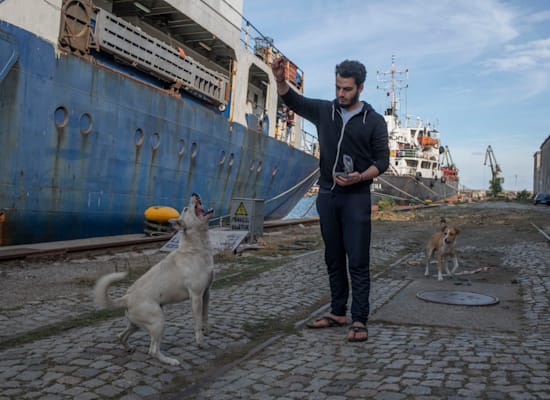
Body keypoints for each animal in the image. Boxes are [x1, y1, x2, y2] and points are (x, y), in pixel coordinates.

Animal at [94, 194, 215, 366]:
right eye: (186, 208)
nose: (194, 193)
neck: (196, 248)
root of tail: (126, 298)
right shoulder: (196, 296)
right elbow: (197, 322)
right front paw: (200, 343)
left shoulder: (206, 293)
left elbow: (205, 317)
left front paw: (207, 332)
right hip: (159, 321)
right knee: (153, 351)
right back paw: (170, 361)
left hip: (137, 324)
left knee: (121, 335)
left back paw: (129, 348)